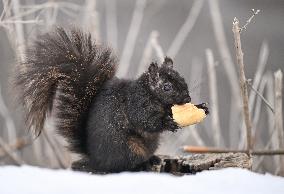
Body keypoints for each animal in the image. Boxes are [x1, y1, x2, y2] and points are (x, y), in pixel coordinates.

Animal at [14, 27, 207, 173]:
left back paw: (153, 159)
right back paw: (142, 165)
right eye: (166, 86)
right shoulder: (137, 104)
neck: (152, 95)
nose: (187, 97)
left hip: (149, 144)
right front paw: (168, 122)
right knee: (124, 165)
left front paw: (202, 107)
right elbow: (146, 121)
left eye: (182, 79)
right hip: (128, 147)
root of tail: (96, 159)